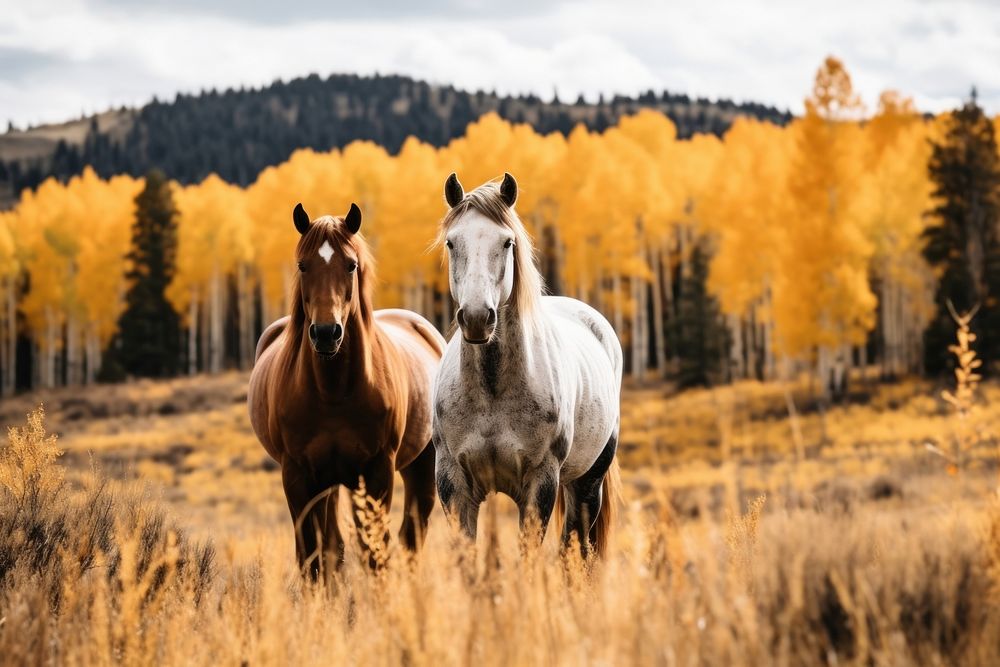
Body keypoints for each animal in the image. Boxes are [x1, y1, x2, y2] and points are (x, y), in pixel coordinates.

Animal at [246, 201, 446, 576]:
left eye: (351, 265)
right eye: (302, 264)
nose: (326, 333)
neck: (333, 392)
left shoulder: (376, 472)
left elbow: (375, 552)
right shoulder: (298, 476)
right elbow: (313, 555)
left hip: (420, 464)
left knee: (412, 537)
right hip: (329, 483)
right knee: (333, 547)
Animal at [432, 172, 620, 560]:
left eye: (507, 242)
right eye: (451, 243)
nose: (477, 318)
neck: (491, 391)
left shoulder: (540, 483)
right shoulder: (453, 484)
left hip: (587, 482)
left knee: (577, 547)